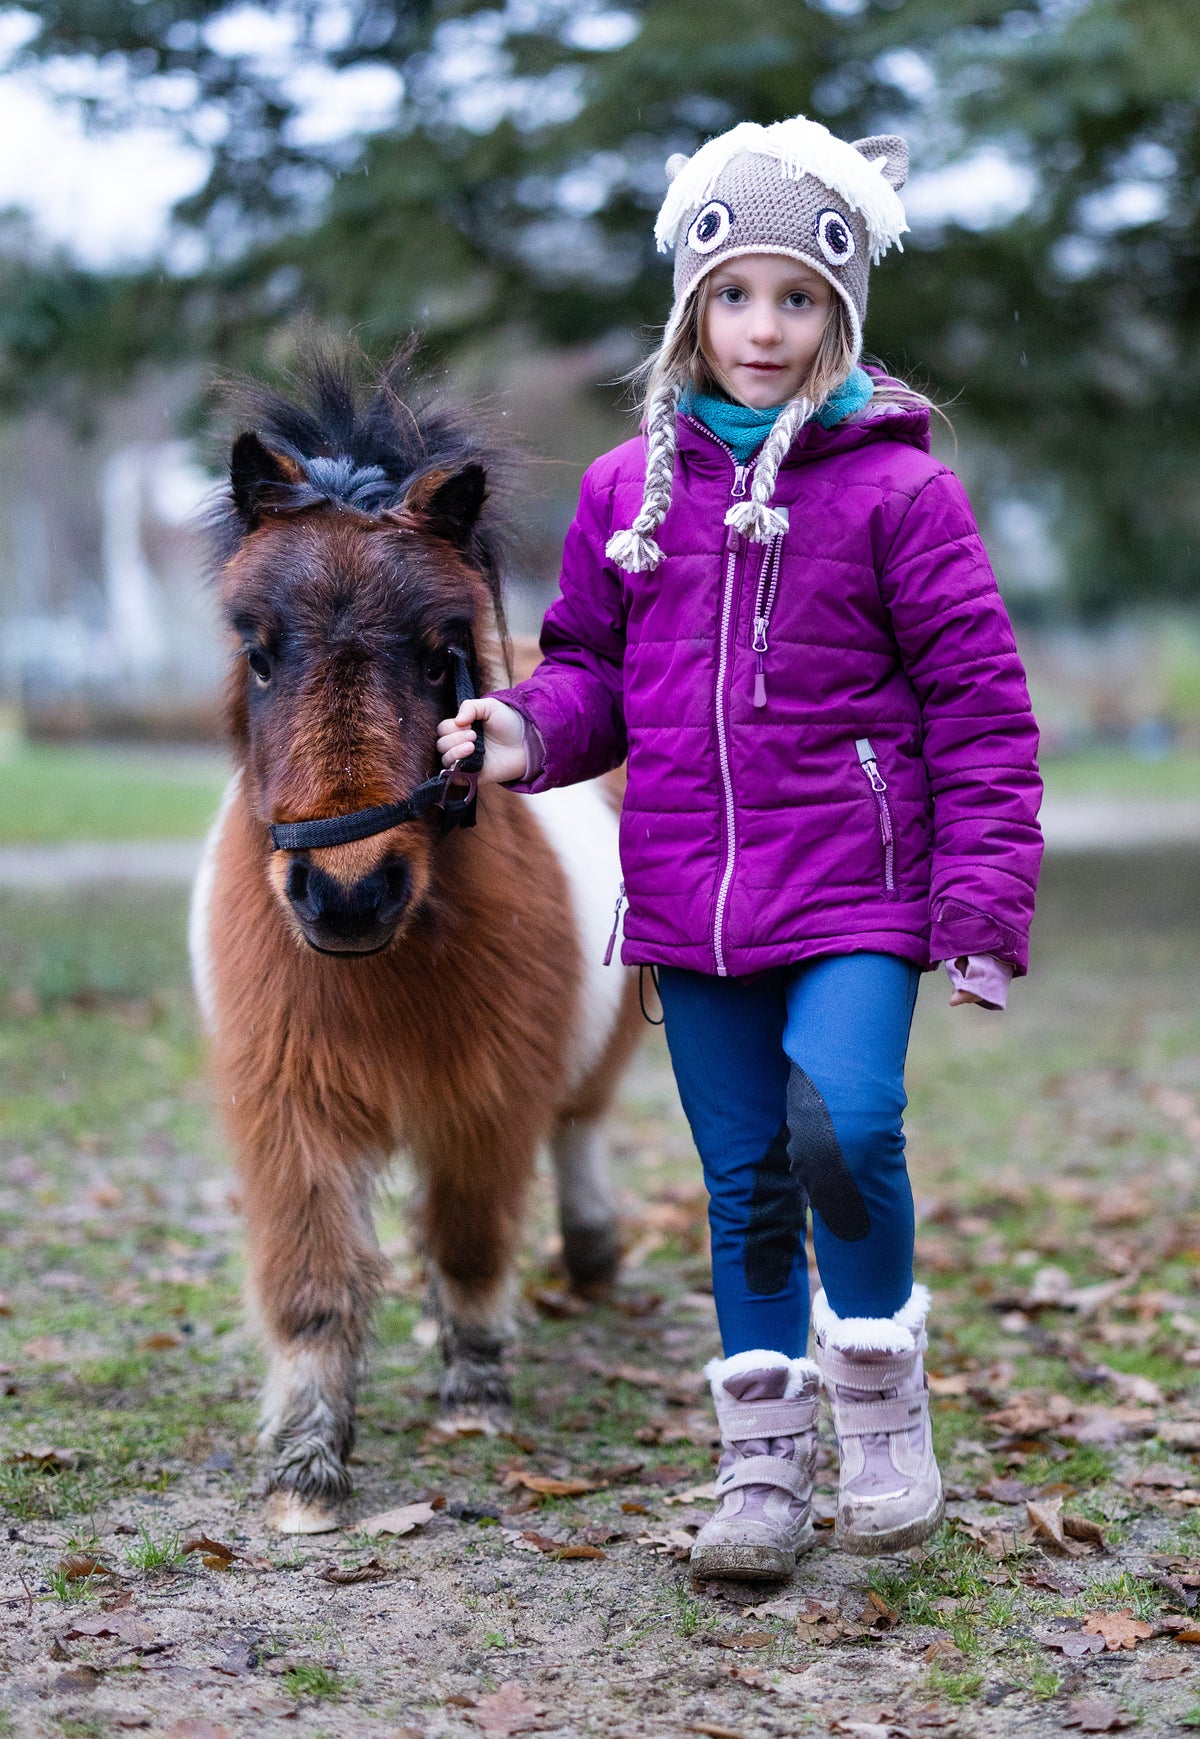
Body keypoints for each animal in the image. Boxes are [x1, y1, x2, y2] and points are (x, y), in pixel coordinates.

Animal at [188, 348, 641, 1533]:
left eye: (443, 655)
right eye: (257, 651)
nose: (349, 895)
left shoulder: (486, 1099)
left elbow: (475, 1239)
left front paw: (475, 1389)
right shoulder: (290, 1110)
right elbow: (314, 1285)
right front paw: (305, 1467)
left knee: (581, 1121)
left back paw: (587, 1250)